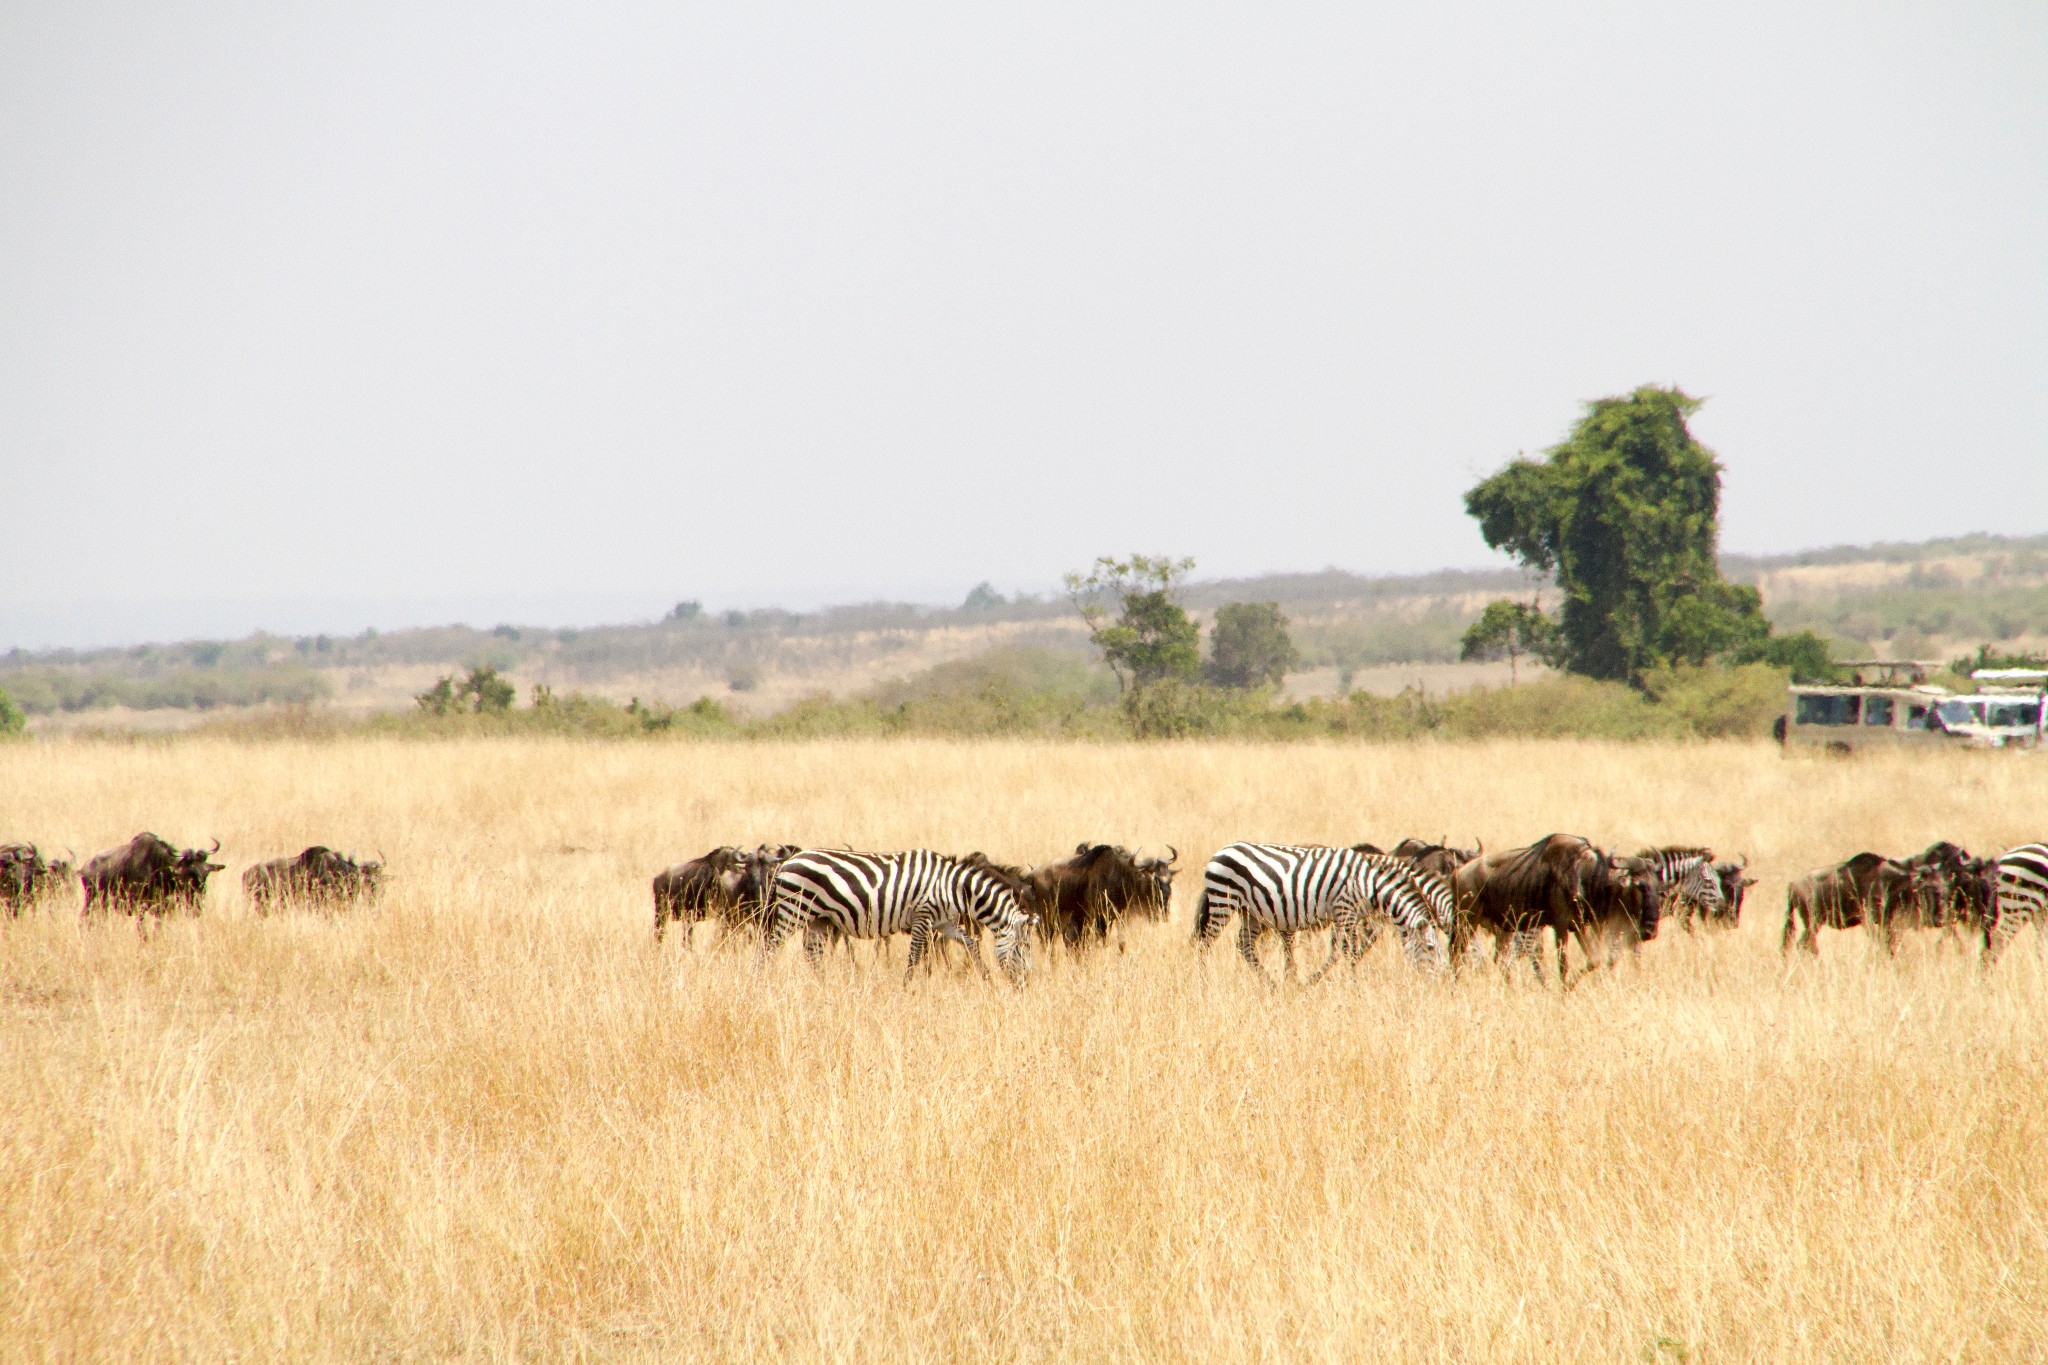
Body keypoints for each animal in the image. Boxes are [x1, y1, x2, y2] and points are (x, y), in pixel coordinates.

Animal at [761, 847, 1032, 986]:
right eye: (1022, 949)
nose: (1025, 984)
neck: (953, 887)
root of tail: (787, 862)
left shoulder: (945, 922)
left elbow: (971, 944)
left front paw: (987, 977)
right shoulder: (923, 916)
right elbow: (914, 956)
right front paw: (907, 988)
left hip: (818, 920)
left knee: (812, 954)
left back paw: (823, 986)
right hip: (794, 910)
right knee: (769, 948)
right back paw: (761, 981)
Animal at [1187, 843, 1458, 982]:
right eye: (1431, 948)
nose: (1445, 980)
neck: (1370, 884)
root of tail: (1221, 851)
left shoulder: (1351, 914)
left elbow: (1340, 951)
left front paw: (1314, 981)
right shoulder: (1345, 909)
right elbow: (1347, 950)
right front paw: (1350, 984)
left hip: (1251, 910)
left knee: (1244, 945)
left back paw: (1271, 983)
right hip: (1223, 901)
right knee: (1204, 942)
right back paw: (1202, 980)